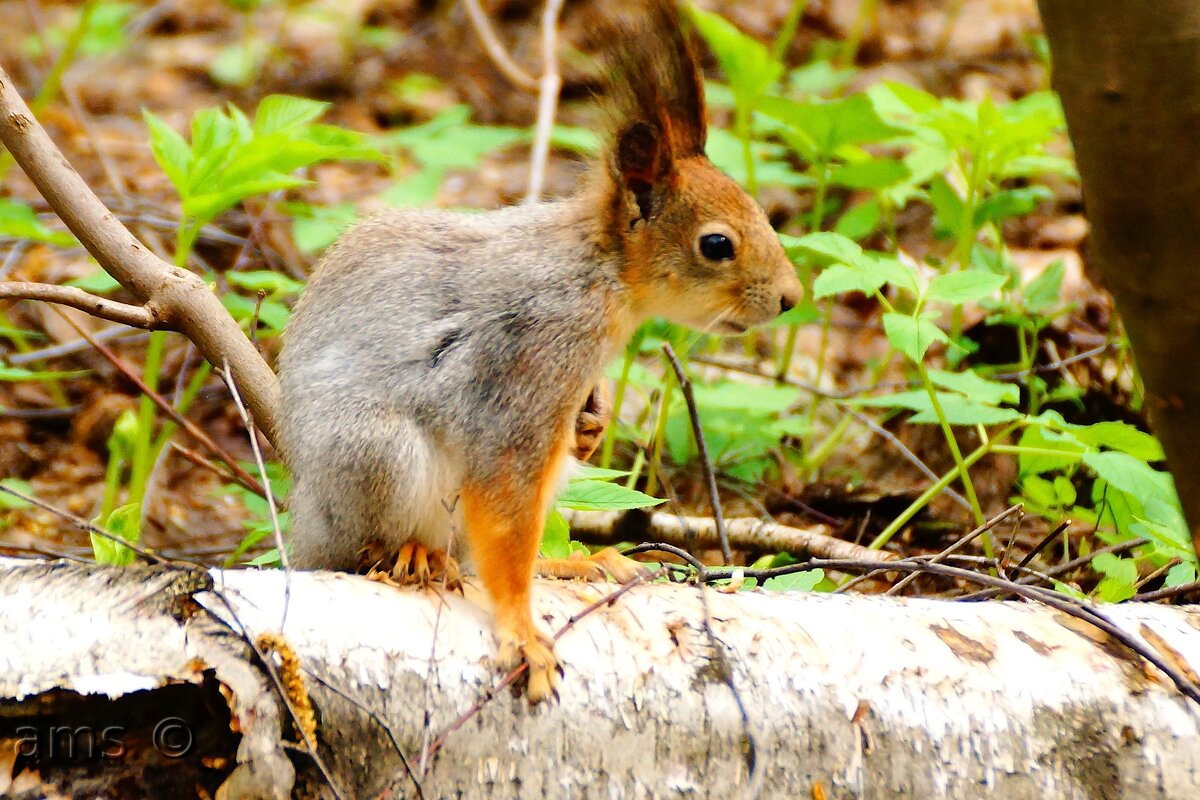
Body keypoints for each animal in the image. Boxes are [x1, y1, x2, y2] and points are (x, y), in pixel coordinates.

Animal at [279, 0, 801, 700]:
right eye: (716, 244)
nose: (790, 298)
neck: (598, 273)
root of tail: (306, 528)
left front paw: (595, 418)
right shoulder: (530, 360)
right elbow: (504, 511)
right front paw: (521, 630)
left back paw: (570, 563)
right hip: (376, 455)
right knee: (377, 549)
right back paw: (411, 554)